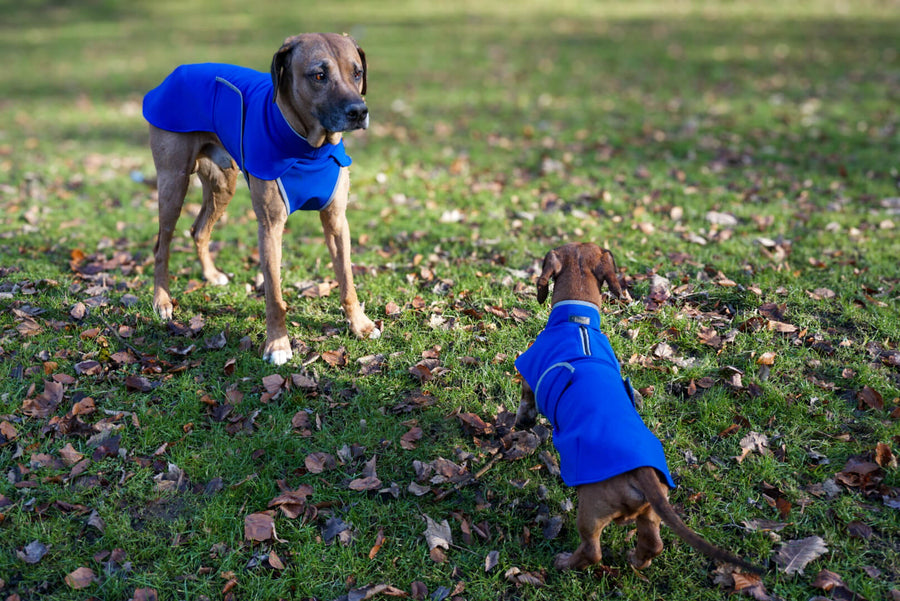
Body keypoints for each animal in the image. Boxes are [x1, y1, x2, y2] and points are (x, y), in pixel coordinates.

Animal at [143, 34, 380, 366]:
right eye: (319, 75)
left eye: (357, 73)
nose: (358, 111)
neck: (309, 148)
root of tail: (177, 72)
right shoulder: (270, 226)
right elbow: (274, 296)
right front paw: (278, 344)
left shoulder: (336, 220)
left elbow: (346, 279)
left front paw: (359, 324)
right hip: (172, 182)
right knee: (162, 244)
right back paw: (162, 300)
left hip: (223, 183)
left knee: (199, 229)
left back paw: (210, 274)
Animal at [512, 243, 760, 572]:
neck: (578, 320)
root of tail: (641, 471)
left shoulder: (530, 373)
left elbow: (525, 401)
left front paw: (521, 423)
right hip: (650, 512)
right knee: (653, 544)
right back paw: (636, 561)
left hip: (590, 509)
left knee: (592, 550)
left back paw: (564, 562)